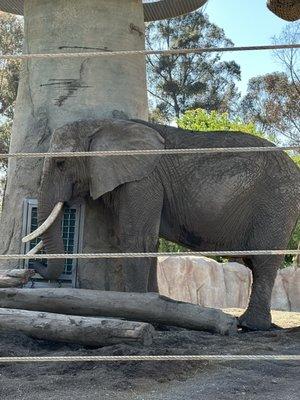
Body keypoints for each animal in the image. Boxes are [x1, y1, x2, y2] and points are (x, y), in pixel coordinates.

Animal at [27, 119, 298, 332]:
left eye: (61, 163)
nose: (34, 268)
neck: (101, 125)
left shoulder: (143, 182)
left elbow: (136, 240)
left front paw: (137, 316)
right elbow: (150, 242)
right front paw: (158, 316)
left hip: (276, 203)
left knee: (262, 261)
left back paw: (250, 326)